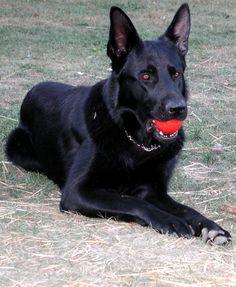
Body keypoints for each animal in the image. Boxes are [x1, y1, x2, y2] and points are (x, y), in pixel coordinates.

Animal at [5, 3, 230, 245]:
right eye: (145, 76)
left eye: (176, 74)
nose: (178, 109)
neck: (135, 140)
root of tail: (34, 88)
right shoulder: (77, 191)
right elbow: (131, 201)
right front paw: (170, 221)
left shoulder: (153, 190)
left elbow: (185, 208)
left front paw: (209, 225)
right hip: (16, 145)